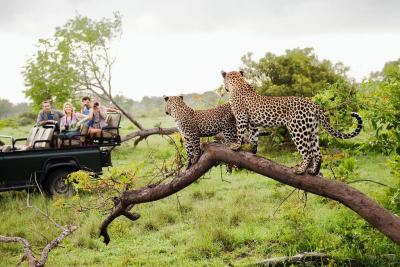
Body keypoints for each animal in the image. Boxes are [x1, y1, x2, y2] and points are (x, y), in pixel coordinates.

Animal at [220, 70, 364, 177]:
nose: (225, 89)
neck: (238, 83)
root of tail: (313, 104)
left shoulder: (241, 117)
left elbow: (240, 132)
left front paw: (236, 146)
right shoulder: (253, 122)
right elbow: (254, 136)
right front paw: (252, 150)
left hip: (297, 129)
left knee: (307, 152)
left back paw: (301, 170)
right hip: (312, 130)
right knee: (317, 153)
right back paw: (313, 171)